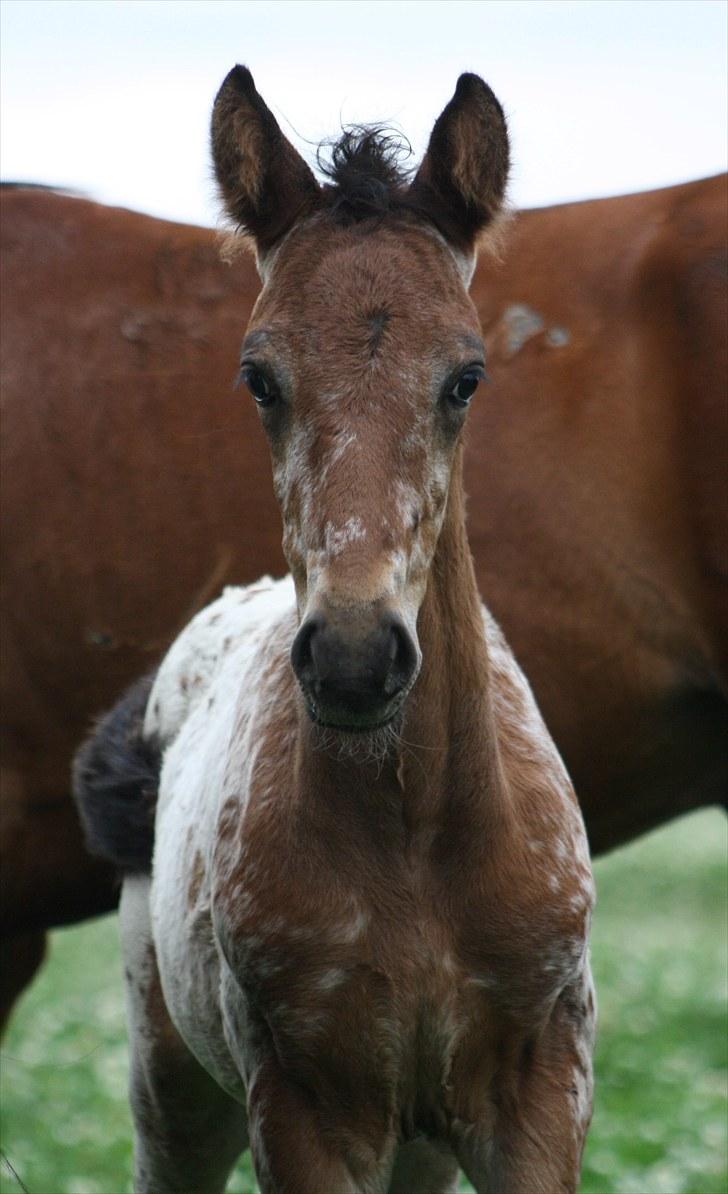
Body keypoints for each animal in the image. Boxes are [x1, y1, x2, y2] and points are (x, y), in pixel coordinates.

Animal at [78, 67, 594, 1194]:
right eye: (259, 376)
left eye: (466, 377)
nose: (355, 659)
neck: (420, 837)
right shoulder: (305, 1109)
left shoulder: (539, 1095)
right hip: (171, 1090)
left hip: (418, 1148)